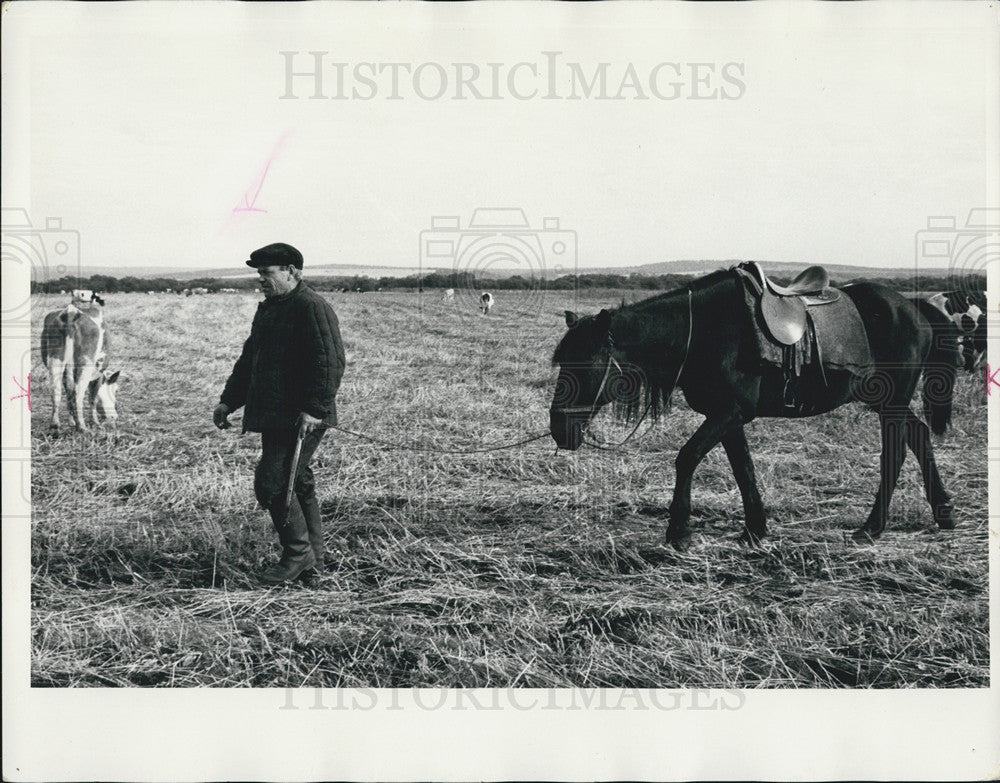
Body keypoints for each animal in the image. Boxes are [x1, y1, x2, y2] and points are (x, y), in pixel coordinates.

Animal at [41, 290, 120, 434]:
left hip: (56, 360)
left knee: (56, 390)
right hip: (85, 363)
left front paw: (71, 421)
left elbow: (68, 392)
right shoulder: (98, 374)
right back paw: (82, 427)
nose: (115, 417)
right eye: (116, 390)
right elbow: (92, 398)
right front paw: (95, 423)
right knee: (78, 392)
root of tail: (71, 312)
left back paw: (55, 426)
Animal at [552, 266, 956, 548]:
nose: (558, 428)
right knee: (918, 436)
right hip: (887, 401)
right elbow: (742, 468)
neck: (701, 332)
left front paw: (678, 531)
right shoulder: (728, 416)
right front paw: (755, 529)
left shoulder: (730, 412)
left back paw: (873, 527)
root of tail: (913, 306)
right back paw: (944, 514)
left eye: (583, 364)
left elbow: (687, 457)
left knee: (896, 450)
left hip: (891, 402)